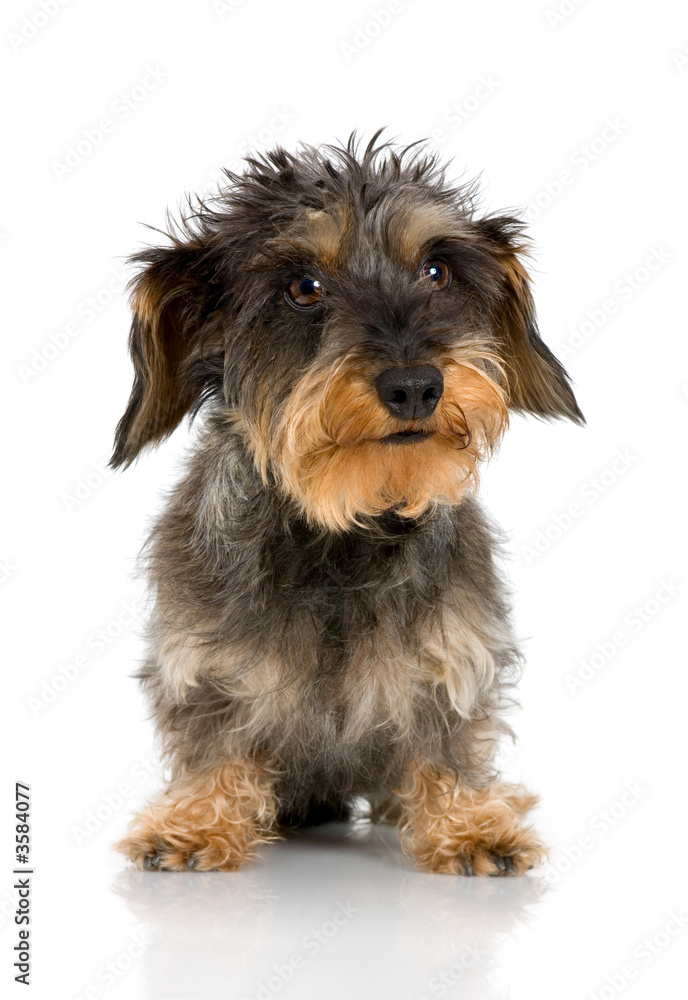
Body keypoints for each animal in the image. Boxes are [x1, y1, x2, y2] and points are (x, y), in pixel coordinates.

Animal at [110, 135, 584, 876]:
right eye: (304, 287)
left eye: (437, 270)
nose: (415, 386)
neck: (343, 528)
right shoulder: (203, 658)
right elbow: (215, 737)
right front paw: (196, 820)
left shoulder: (454, 650)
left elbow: (446, 738)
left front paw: (467, 822)